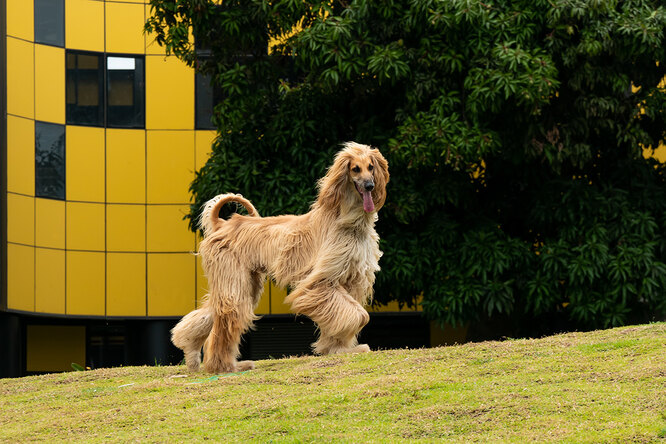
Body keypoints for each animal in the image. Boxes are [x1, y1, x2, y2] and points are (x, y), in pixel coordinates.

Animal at [171, 141, 390, 372]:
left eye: (371, 167)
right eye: (355, 169)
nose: (370, 186)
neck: (348, 222)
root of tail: (222, 223)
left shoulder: (350, 279)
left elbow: (346, 314)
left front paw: (338, 348)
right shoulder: (319, 283)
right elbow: (360, 315)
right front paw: (337, 347)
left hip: (245, 282)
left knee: (212, 312)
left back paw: (192, 352)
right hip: (233, 276)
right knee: (230, 313)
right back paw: (225, 367)